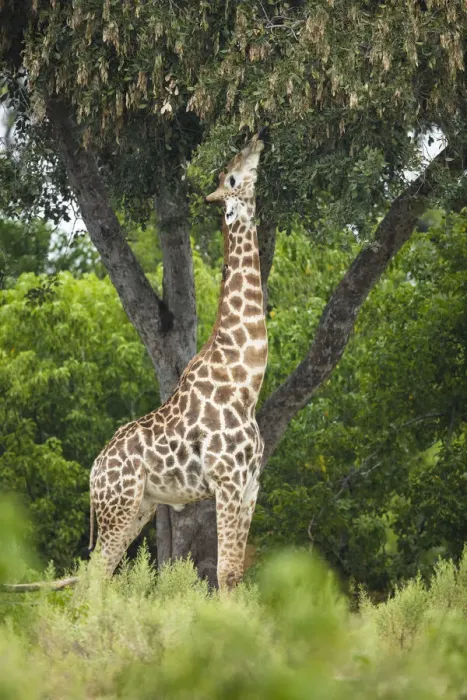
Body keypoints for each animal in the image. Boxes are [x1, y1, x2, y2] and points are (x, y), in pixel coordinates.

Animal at [89, 133, 267, 590]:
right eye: (231, 175)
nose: (255, 139)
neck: (247, 380)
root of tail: (92, 474)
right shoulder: (227, 480)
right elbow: (224, 571)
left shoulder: (251, 485)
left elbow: (236, 573)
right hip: (119, 508)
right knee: (92, 576)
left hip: (141, 507)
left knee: (94, 575)